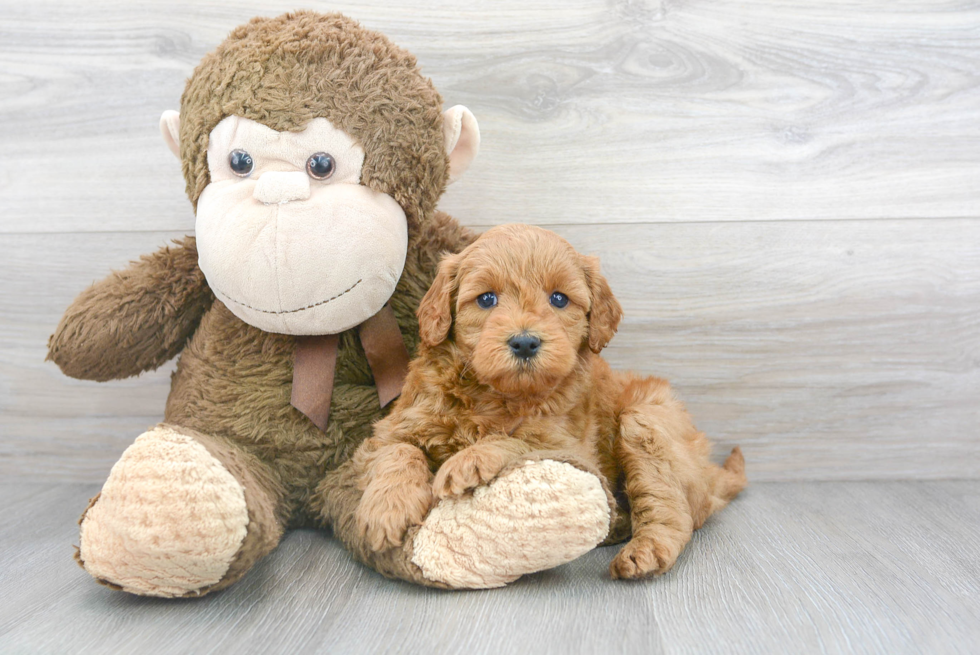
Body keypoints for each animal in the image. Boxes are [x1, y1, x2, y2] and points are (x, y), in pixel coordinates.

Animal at [356, 224, 748, 580]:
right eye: (486, 299)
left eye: (559, 299)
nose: (525, 342)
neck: (493, 394)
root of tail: (710, 471)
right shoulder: (396, 424)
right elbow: (398, 449)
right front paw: (386, 511)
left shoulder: (570, 446)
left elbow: (519, 439)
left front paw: (469, 461)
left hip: (645, 420)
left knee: (673, 513)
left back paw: (644, 551)